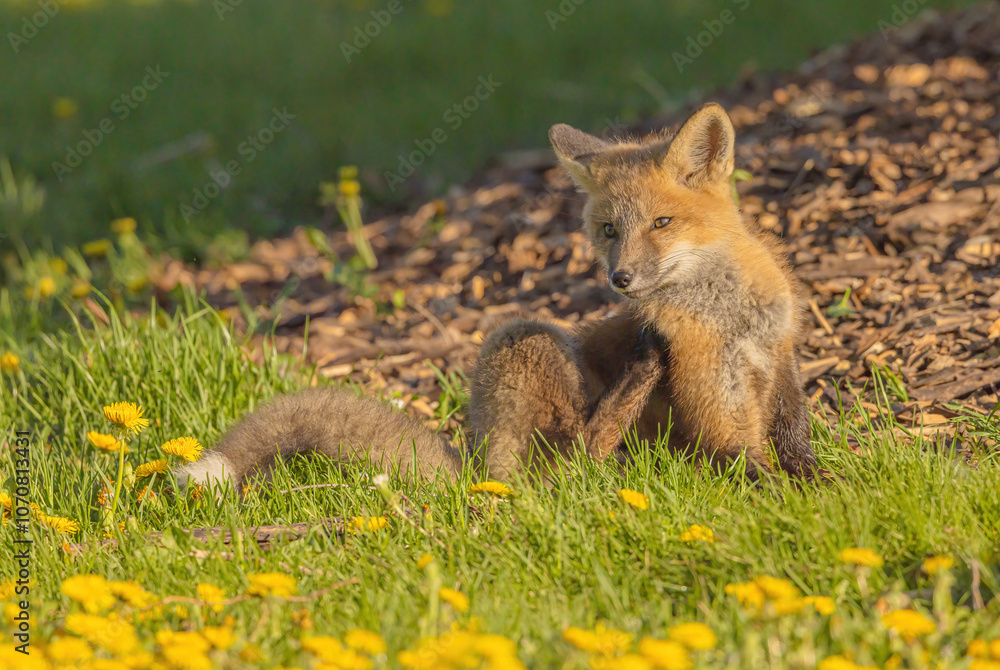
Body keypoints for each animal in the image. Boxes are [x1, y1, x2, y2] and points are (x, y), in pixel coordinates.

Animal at [177, 103, 814, 492]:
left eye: (661, 223)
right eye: (609, 230)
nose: (621, 280)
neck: (727, 314)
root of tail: (477, 465)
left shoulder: (779, 358)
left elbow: (795, 438)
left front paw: (816, 484)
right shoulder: (712, 393)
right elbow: (743, 455)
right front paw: (782, 497)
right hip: (524, 339)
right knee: (579, 453)